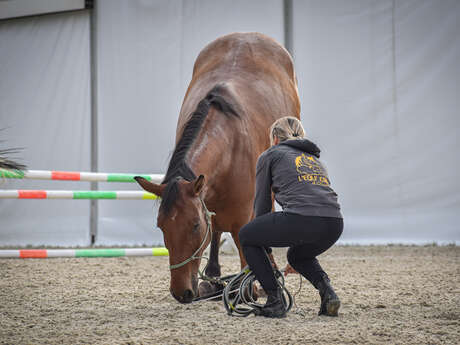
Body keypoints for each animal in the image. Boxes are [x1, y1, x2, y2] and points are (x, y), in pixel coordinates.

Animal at [135, 31, 300, 300]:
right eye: (161, 226)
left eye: (194, 226)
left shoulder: (243, 215)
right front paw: (214, 278)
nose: (181, 293)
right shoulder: (206, 200)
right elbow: (215, 231)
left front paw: (252, 286)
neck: (229, 142)